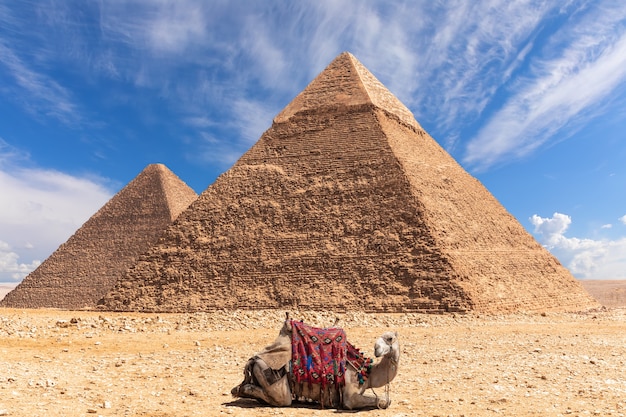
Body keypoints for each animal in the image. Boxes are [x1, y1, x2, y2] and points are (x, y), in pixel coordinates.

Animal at [230, 314, 400, 408]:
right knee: (282, 399)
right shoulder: (350, 396)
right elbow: (385, 400)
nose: (377, 350)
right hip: (273, 378)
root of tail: (253, 360)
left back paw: (239, 389)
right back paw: (241, 390)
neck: (367, 373)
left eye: (390, 338)